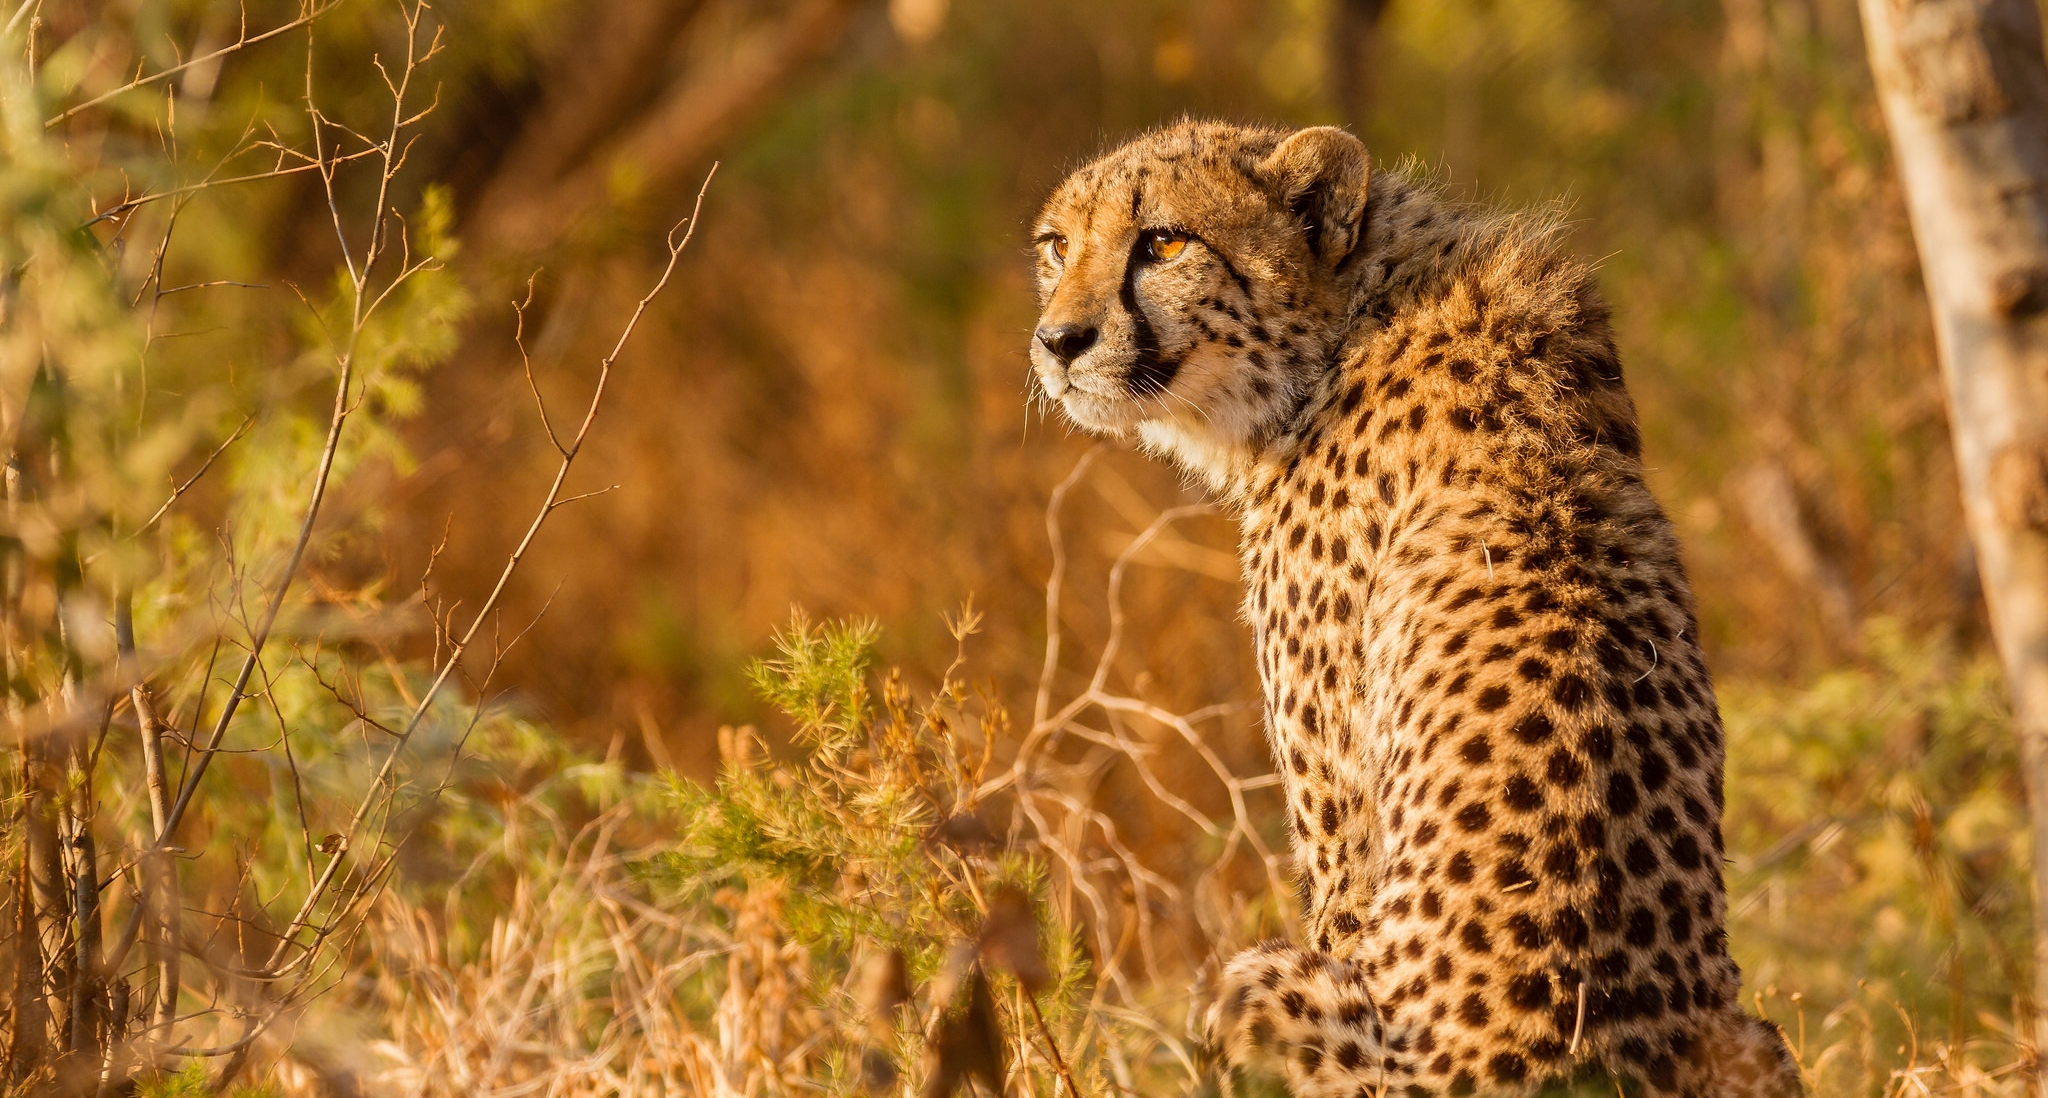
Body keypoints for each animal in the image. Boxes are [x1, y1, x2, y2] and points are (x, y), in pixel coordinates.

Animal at [1032, 122, 1802, 1098]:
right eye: (1057, 246)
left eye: (1164, 243)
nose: (1060, 340)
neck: (1350, 321)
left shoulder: (1341, 822)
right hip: (1755, 1037)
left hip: (1256, 987)